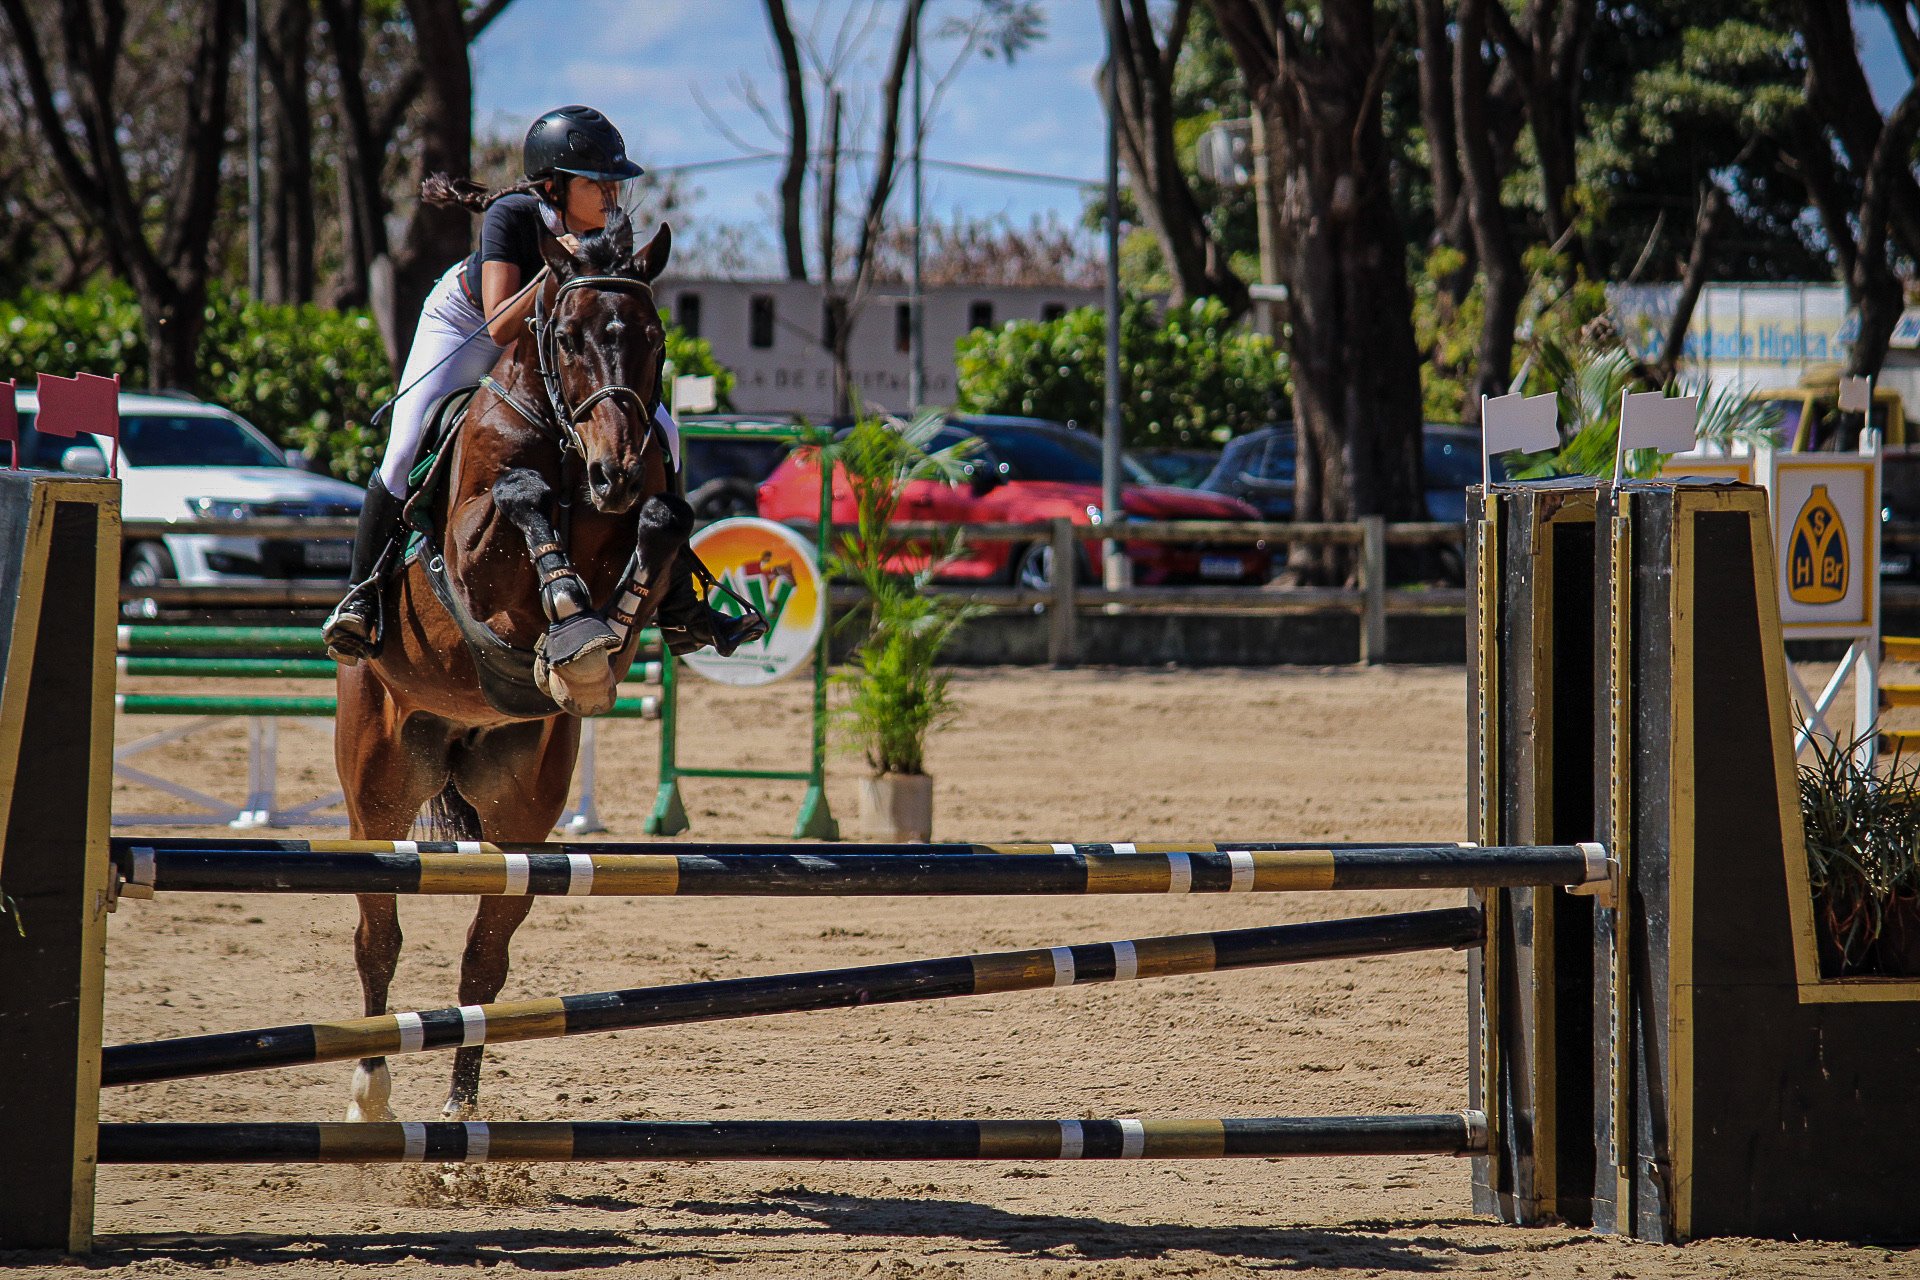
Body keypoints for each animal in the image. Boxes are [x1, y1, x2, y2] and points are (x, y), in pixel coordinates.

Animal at [334, 211, 692, 1121]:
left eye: (653, 337)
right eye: (565, 337)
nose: (614, 471)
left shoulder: (643, 509)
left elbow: (664, 520)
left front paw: (592, 644)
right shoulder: (472, 553)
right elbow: (522, 496)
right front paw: (571, 619)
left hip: (523, 813)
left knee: (483, 962)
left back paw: (461, 1116)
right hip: (377, 791)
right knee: (378, 937)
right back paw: (371, 1091)